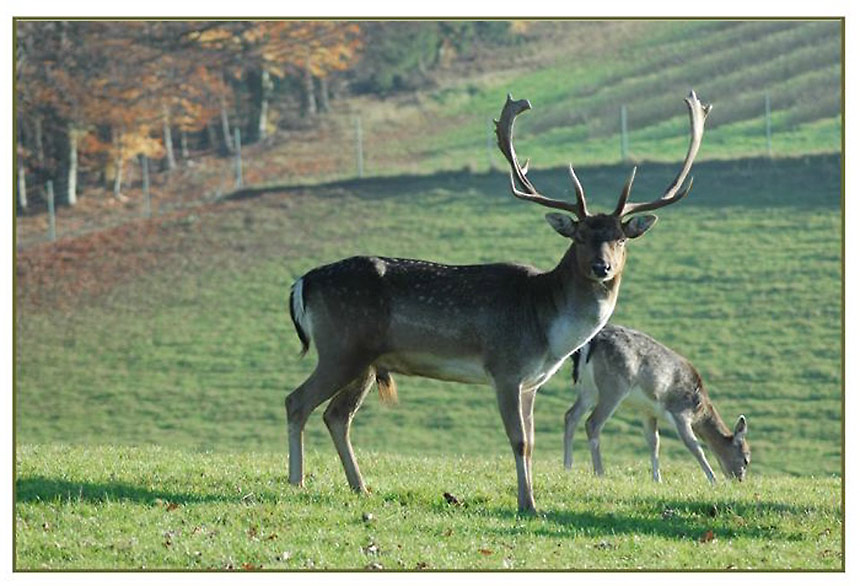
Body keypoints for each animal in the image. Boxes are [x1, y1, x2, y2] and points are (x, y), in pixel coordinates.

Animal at [286, 89, 708, 508]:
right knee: (297, 402)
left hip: (366, 362)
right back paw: (296, 481)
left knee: (337, 415)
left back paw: (360, 486)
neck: (548, 327)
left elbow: (533, 443)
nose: (601, 267)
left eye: (620, 238)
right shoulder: (505, 368)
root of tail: (302, 283)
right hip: (342, 348)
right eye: (580, 236)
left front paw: (531, 499)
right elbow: (519, 442)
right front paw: (528, 505)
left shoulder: (532, 382)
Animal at [560, 322, 748, 482]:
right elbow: (694, 446)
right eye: (746, 459)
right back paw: (599, 472)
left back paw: (568, 466)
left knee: (571, 415)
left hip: (588, 389)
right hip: (613, 386)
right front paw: (713, 480)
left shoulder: (648, 411)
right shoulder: (680, 411)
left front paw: (657, 479)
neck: (698, 408)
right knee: (592, 423)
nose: (739, 479)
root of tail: (590, 344)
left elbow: (654, 442)